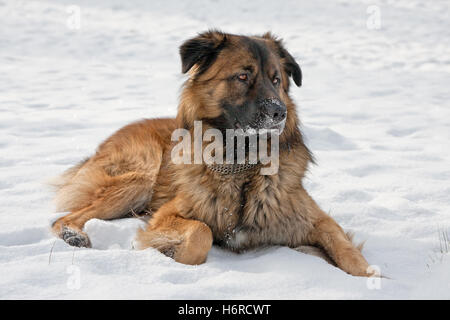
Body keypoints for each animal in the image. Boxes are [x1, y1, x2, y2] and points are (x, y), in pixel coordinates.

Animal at [50, 30, 372, 276]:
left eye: (276, 79)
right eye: (242, 76)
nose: (279, 113)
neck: (242, 166)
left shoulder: (314, 219)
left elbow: (346, 250)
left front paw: (371, 276)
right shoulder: (168, 214)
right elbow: (200, 232)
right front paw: (172, 256)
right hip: (140, 179)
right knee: (63, 218)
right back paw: (73, 235)